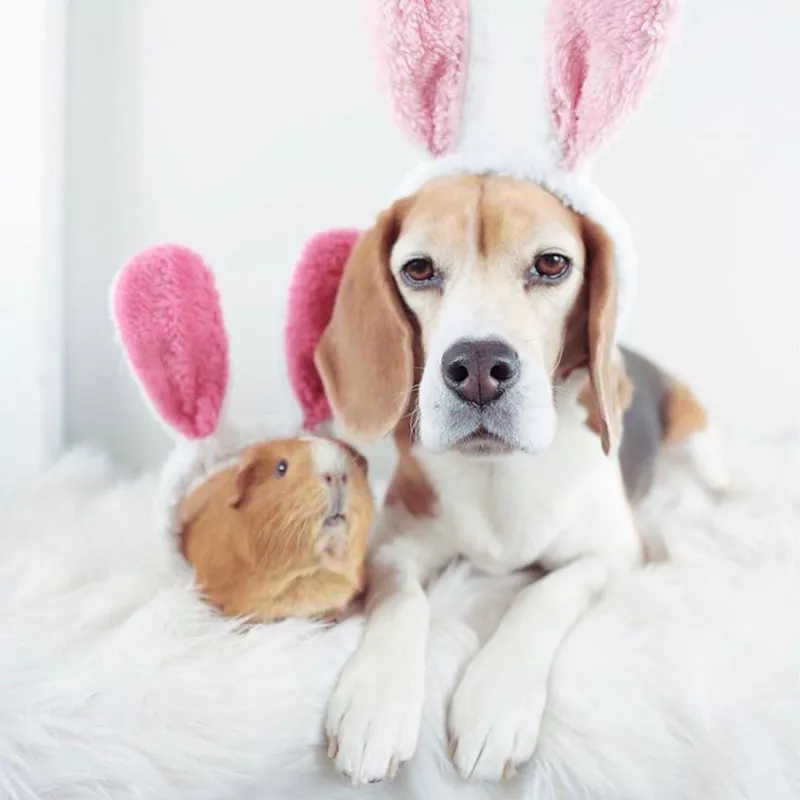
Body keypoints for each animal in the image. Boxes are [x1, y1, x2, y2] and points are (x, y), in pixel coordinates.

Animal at [316, 173, 728, 780]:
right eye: (418, 268)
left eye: (551, 263)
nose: (477, 368)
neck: (497, 471)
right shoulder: (391, 549)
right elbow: (403, 603)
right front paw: (375, 702)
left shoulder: (614, 553)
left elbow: (540, 594)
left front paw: (495, 702)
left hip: (698, 439)